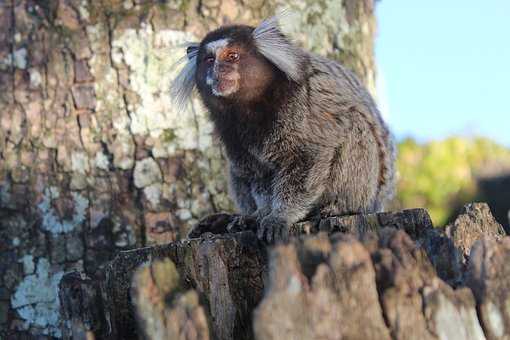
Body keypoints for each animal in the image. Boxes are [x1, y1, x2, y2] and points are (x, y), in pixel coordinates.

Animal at [170, 13, 394, 242]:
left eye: (232, 56)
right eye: (209, 60)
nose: (217, 71)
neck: (251, 106)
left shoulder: (302, 106)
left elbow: (308, 159)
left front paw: (280, 216)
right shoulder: (230, 130)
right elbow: (258, 175)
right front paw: (261, 214)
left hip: (365, 190)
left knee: (355, 125)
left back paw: (337, 207)